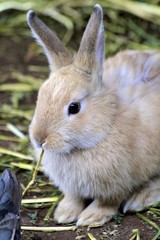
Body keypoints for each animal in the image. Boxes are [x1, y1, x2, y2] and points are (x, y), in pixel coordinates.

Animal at [26, 2, 160, 226]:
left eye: (74, 107)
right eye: (40, 96)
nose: (40, 139)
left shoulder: (117, 185)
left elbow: (107, 202)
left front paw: (91, 218)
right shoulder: (72, 188)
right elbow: (73, 197)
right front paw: (64, 214)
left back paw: (140, 199)